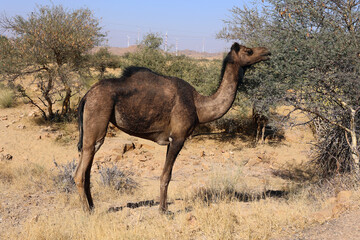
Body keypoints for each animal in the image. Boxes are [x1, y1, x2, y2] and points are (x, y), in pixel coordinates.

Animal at [75, 42, 270, 212]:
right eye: (249, 51)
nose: (267, 52)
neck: (198, 106)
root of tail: (86, 95)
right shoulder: (178, 138)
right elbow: (166, 176)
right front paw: (163, 210)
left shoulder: (170, 140)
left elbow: (165, 174)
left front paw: (163, 208)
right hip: (97, 118)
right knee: (80, 172)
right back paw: (87, 211)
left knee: (87, 170)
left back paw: (92, 207)